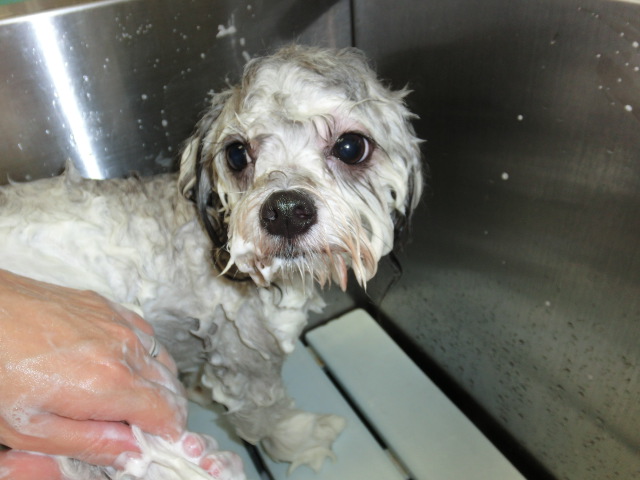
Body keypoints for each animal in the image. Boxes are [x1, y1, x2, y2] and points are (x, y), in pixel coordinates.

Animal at [0, 45, 423, 478]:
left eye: (351, 147)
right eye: (236, 153)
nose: (286, 211)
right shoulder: (245, 351)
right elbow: (266, 413)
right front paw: (300, 439)